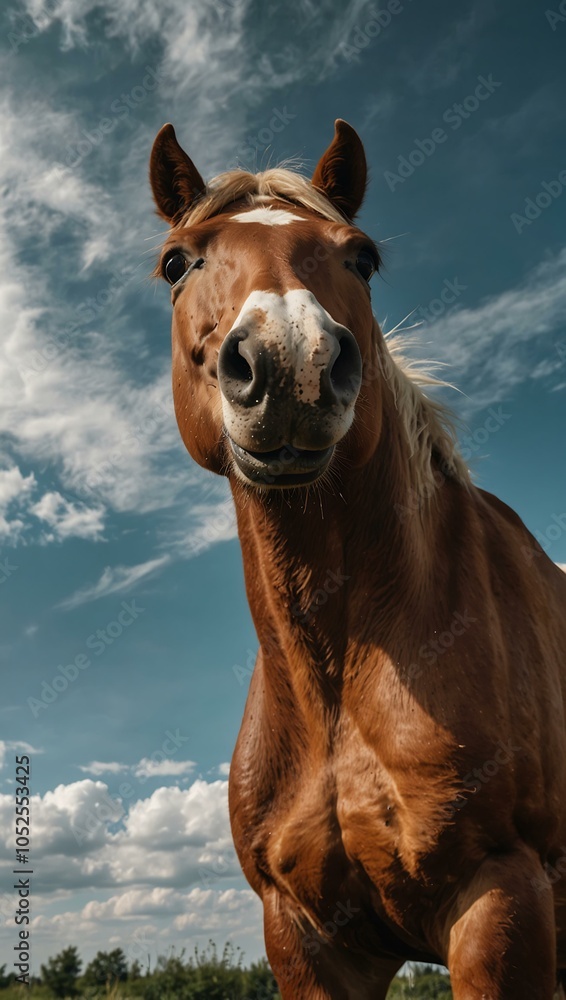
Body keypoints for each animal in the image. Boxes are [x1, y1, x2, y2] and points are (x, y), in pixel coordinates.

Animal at [149, 118, 566, 999]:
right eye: (177, 262)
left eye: (362, 257)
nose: (290, 364)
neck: (340, 676)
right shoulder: (305, 936)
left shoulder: (501, 899)